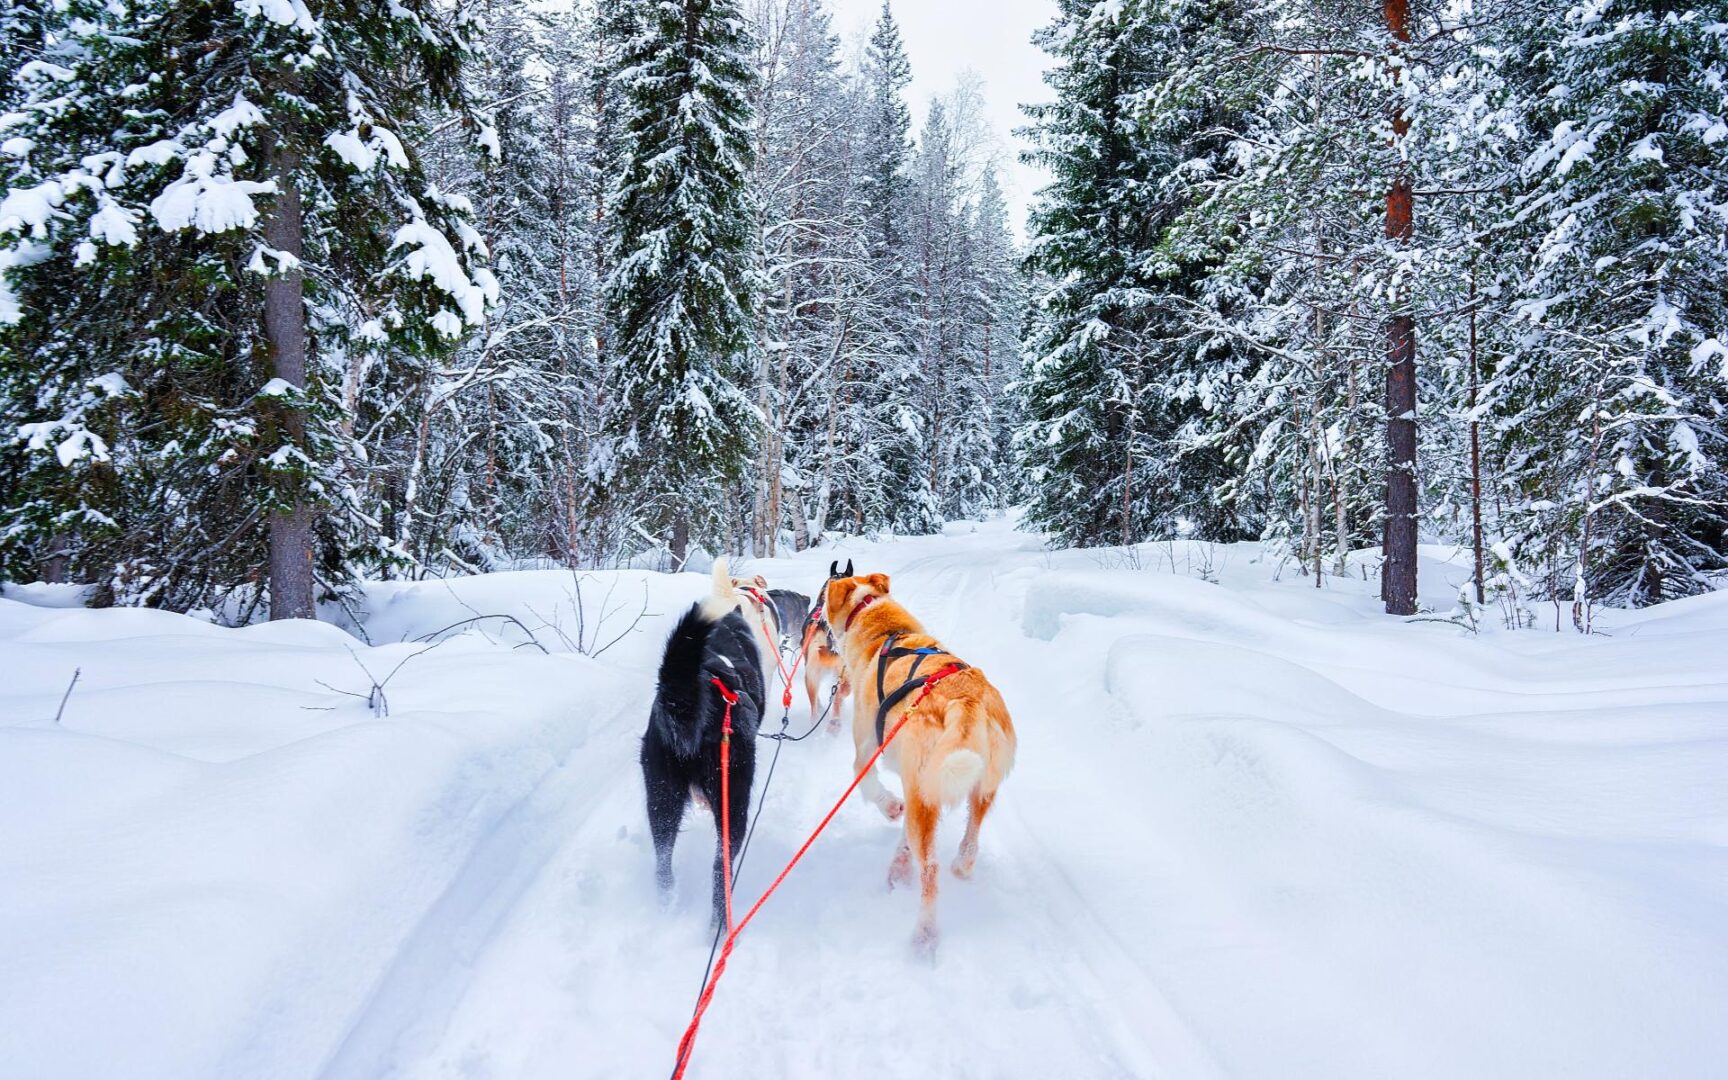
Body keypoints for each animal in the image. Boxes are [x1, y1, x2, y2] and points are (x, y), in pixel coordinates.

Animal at [642, 559, 763, 919]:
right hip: (733, 798)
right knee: (720, 869)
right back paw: (719, 920)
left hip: (661, 796)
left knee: (663, 858)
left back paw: (666, 900)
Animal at [819, 570, 1009, 946]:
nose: (818, 619)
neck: (884, 632)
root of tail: (965, 700)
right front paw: (900, 859)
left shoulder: (866, 750)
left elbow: (867, 781)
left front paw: (891, 808)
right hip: (980, 791)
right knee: (969, 846)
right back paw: (953, 865)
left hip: (924, 791)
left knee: (931, 869)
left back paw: (924, 934)